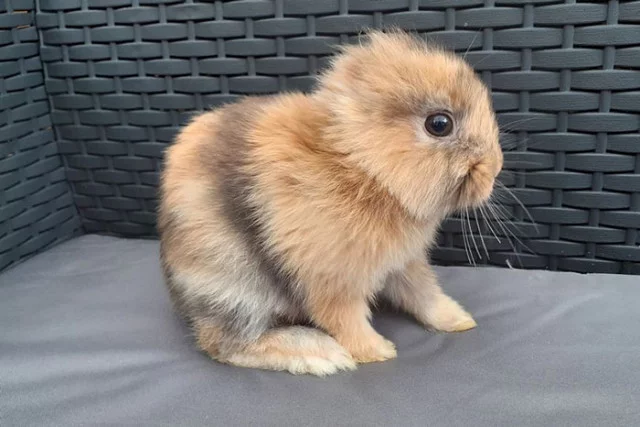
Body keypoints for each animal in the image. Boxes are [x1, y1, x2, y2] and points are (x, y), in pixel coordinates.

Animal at [158, 30, 502, 376]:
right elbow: (345, 320)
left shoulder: (404, 263)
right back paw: (321, 354)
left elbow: (424, 294)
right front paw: (378, 351)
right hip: (236, 286)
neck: (363, 167)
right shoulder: (333, 281)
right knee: (227, 342)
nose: (495, 168)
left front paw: (459, 320)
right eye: (439, 124)